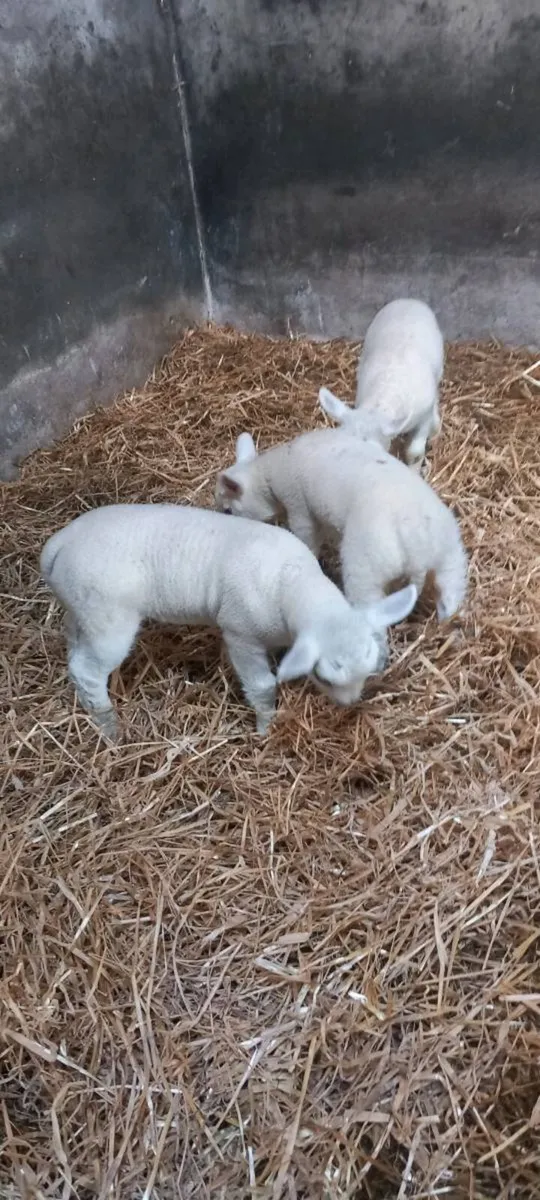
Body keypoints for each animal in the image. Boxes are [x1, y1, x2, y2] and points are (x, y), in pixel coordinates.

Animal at [40, 503, 417, 738]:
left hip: (83, 609)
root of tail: (58, 544)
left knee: (74, 647)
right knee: (87, 670)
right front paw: (265, 727)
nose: (349, 705)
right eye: (323, 677)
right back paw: (109, 728)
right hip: (109, 617)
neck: (292, 581)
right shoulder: (241, 632)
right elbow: (262, 684)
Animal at [216, 427, 467, 622]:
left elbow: (307, 538)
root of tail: (417, 551)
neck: (269, 477)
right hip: (451, 554)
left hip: (364, 569)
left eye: (228, 510)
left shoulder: (299, 506)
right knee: (450, 591)